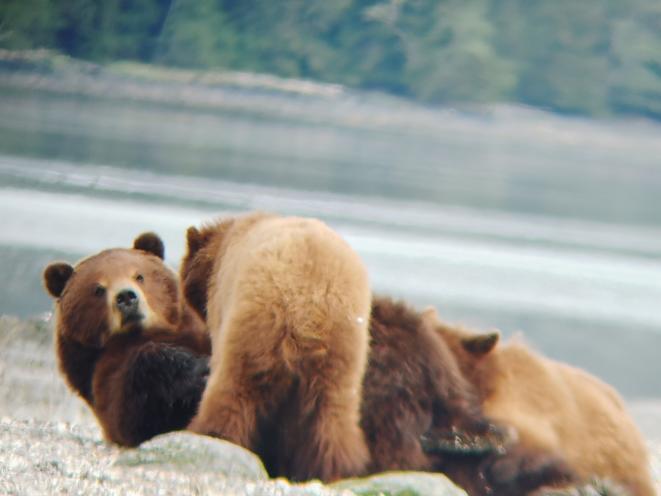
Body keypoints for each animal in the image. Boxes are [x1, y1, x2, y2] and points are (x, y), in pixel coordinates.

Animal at [181, 212, 373, 482]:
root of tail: (308, 302)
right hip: (343, 347)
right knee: (332, 415)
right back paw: (333, 467)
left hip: (257, 325)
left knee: (234, 388)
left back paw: (212, 433)